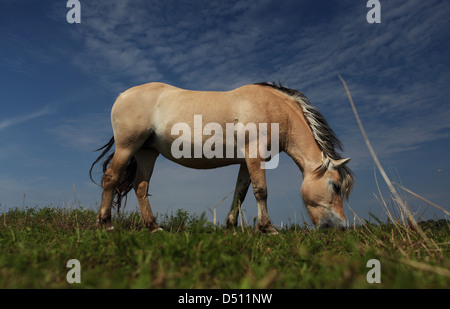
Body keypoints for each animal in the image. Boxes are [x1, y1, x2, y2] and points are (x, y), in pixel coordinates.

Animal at [89, 80, 354, 232]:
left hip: (147, 152)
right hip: (127, 146)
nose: (341, 227)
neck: (274, 109)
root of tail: (122, 95)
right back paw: (106, 224)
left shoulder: (246, 162)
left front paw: (231, 227)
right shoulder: (255, 156)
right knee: (111, 178)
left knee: (140, 186)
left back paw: (153, 227)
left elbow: (241, 193)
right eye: (335, 186)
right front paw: (267, 228)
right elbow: (261, 191)